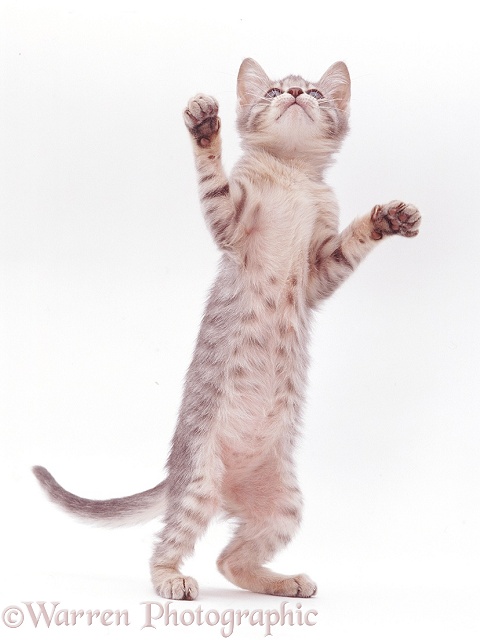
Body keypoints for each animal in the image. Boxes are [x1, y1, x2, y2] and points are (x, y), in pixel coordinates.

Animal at [32, 58, 420, 600]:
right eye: (275, 91)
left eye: (316, 93)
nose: (295, 93)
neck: (292, 175)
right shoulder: (232, 226)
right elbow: (213, 182)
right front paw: (204, 126)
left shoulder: (320, 272)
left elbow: (351, 242)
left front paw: (389, 218)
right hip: (199, 480)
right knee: (170, 546)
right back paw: (173, 580)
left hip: (284, 504)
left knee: (230, 560)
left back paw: (284, 581)